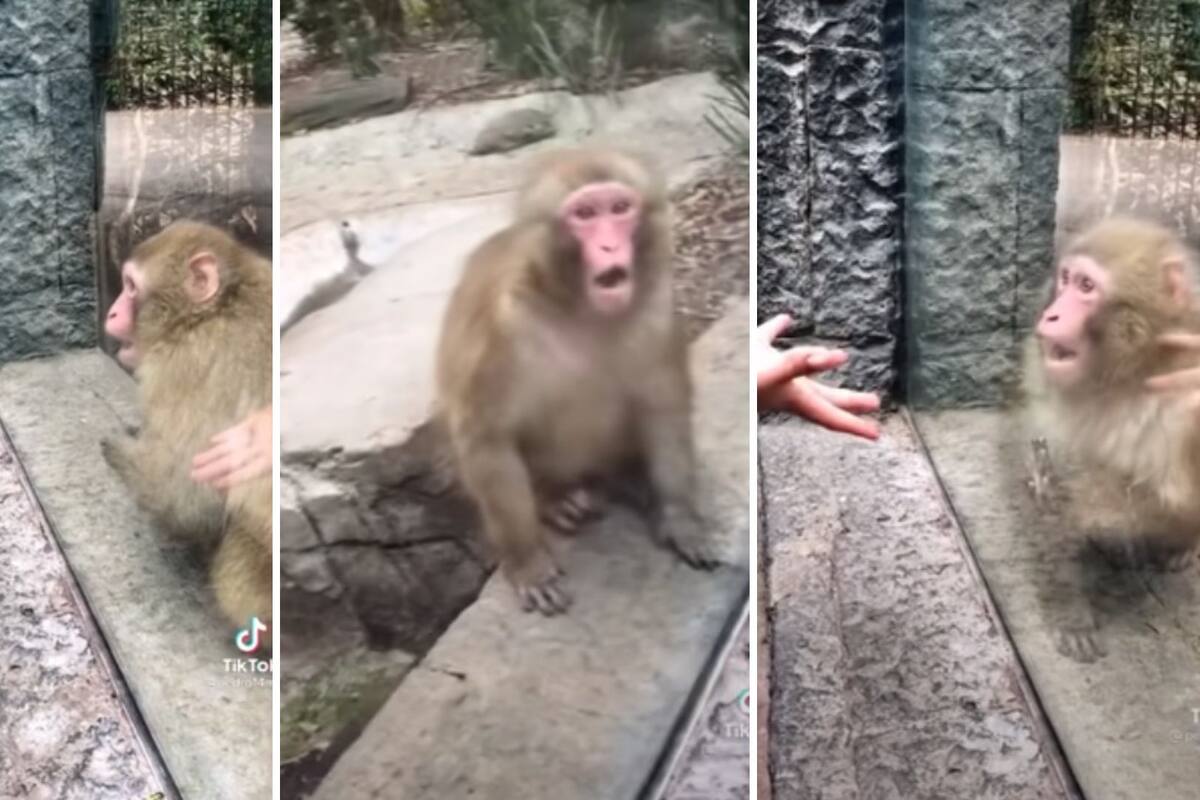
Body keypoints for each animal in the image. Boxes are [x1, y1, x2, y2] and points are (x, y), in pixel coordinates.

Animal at [101, 221, 273, 630]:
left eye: (131, 286)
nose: (112, 312)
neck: (212, 311)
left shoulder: (183, 368)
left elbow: (188, 497)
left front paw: (119, 452)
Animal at [434, 147, 720, 615]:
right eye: (584, 214)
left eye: (619, 208)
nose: (609, 245)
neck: (580, 309)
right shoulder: (502, 327)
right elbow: (487, 437)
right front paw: (529, 563)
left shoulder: (657, 309)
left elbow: (664, 409)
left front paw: (681, 518)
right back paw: (556, 497)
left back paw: (632, 478)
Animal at [1023, 216, 1200, 660]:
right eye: (1066, 279)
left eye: (1087, 286)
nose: (1051, 315)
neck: (1135, 373)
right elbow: (1059, 487)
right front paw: (1071, 615)